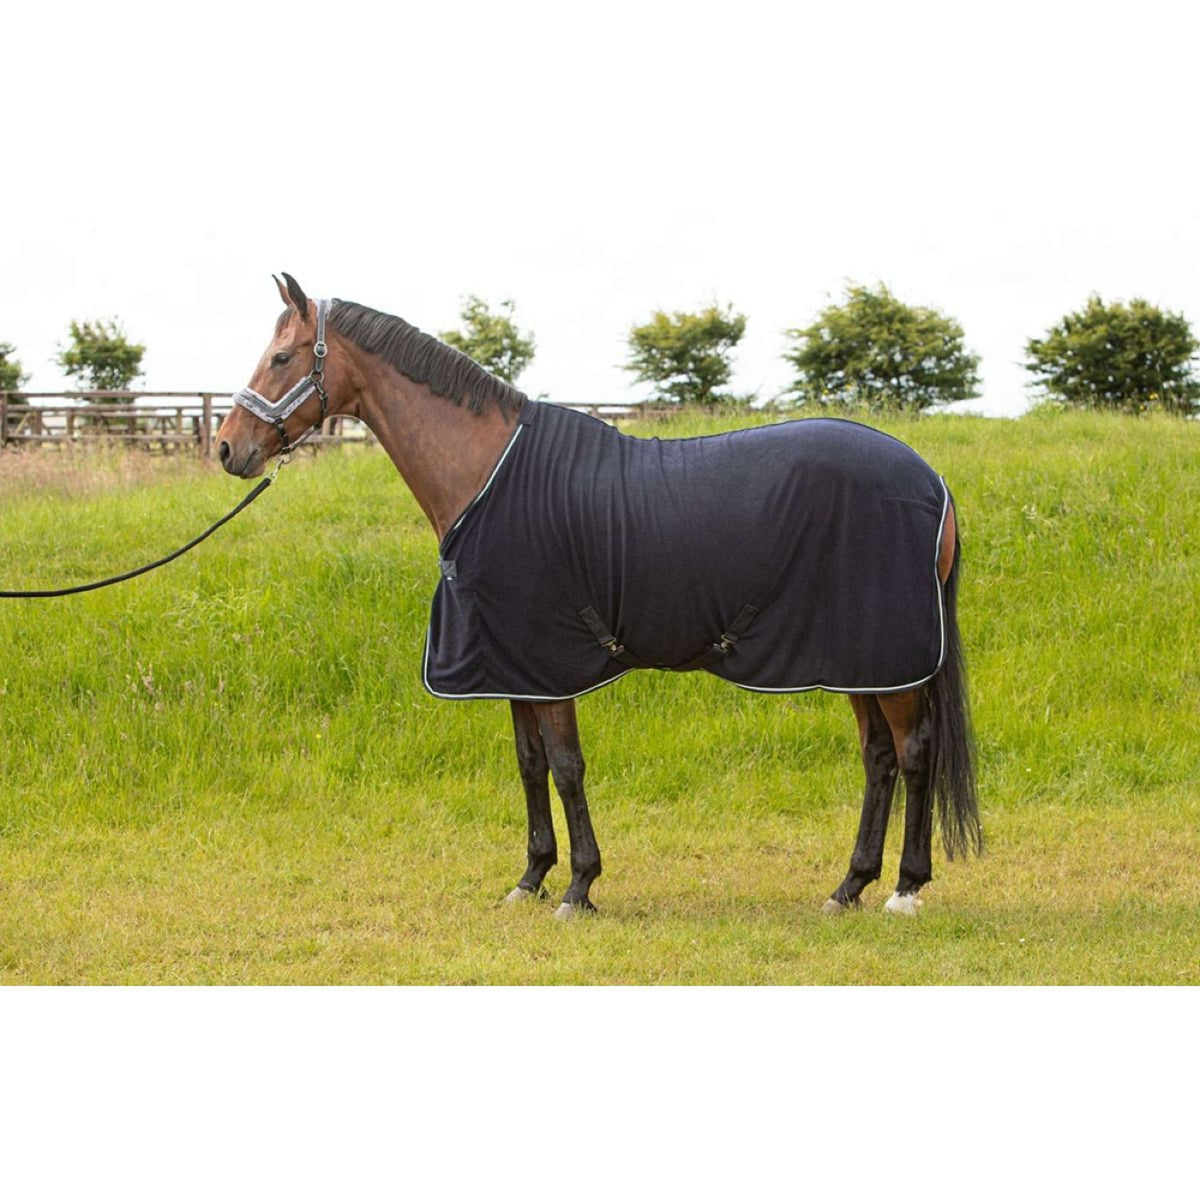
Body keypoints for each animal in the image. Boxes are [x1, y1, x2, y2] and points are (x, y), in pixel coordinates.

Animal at [216, 273, 980, 919]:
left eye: (281, 358)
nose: (227, 448)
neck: (487, 472)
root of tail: (933, 482)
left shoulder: (550, 664)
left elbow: (566, 767)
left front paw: (579, 886)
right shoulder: (513, 664)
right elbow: (530, 766)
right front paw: (530, 878)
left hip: (884, 657)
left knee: (913, 751)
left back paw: (904, 889)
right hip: (857, 659)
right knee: (879, 758)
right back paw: (849, 886)